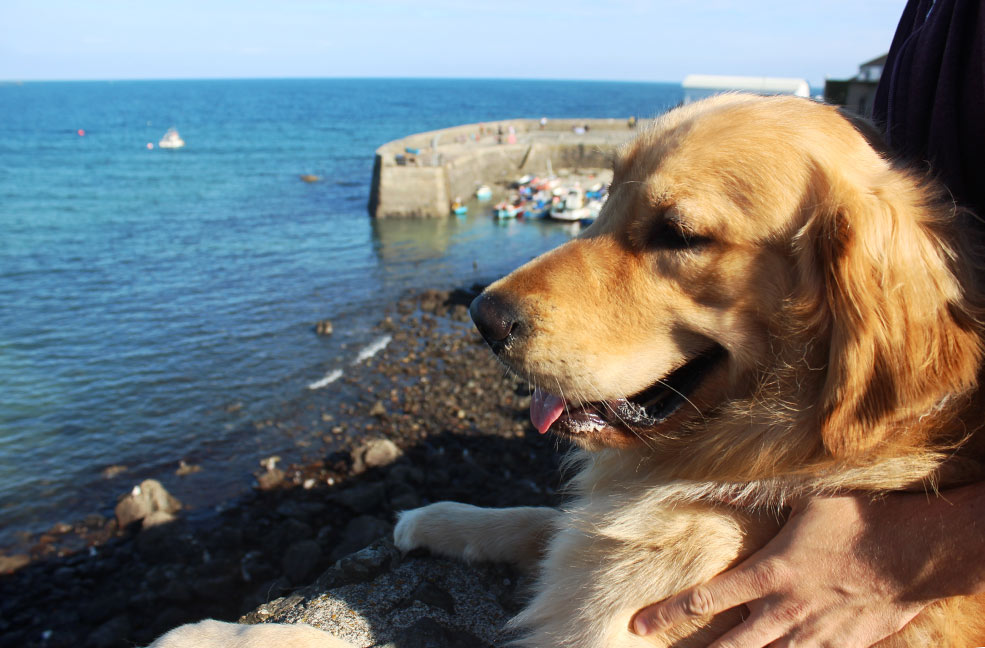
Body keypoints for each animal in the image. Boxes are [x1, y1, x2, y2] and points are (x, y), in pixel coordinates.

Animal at [150, 93, 984, 644]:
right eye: (603, 198)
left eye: (677, 233)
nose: (481, 318)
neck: (780, 454)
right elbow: (540, 520)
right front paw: (439, 517)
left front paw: (211, 635)